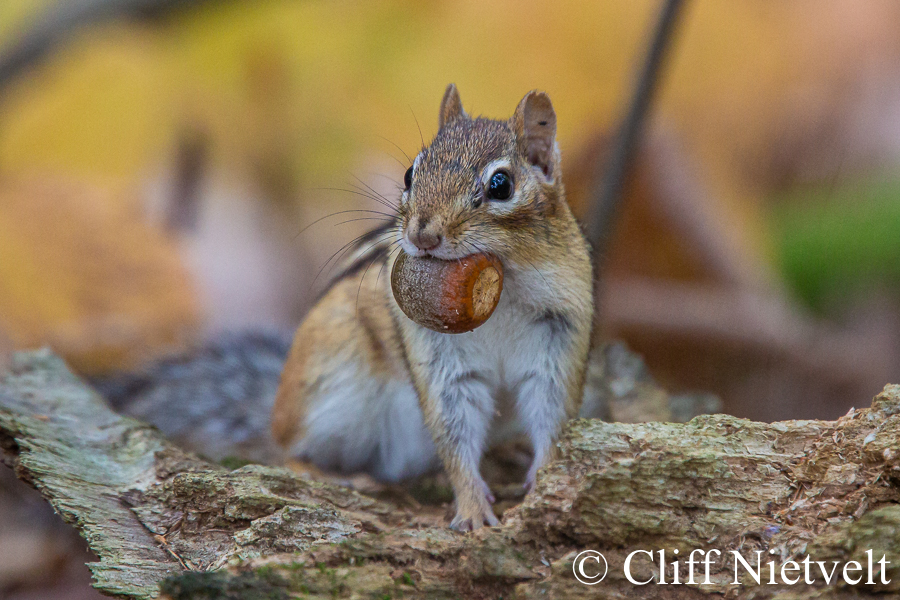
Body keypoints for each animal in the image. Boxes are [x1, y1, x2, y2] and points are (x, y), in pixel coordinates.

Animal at [271, 85, 594, 530]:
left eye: (501, 185)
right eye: (410, 173)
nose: (422, 234)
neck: (505, 288)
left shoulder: (558, 341)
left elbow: (553, 417)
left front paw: (543, 483)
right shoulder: (442, 360)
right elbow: (454, 432)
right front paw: (473, 508)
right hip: (326, 383)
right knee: (286, 451)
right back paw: (343, 477)